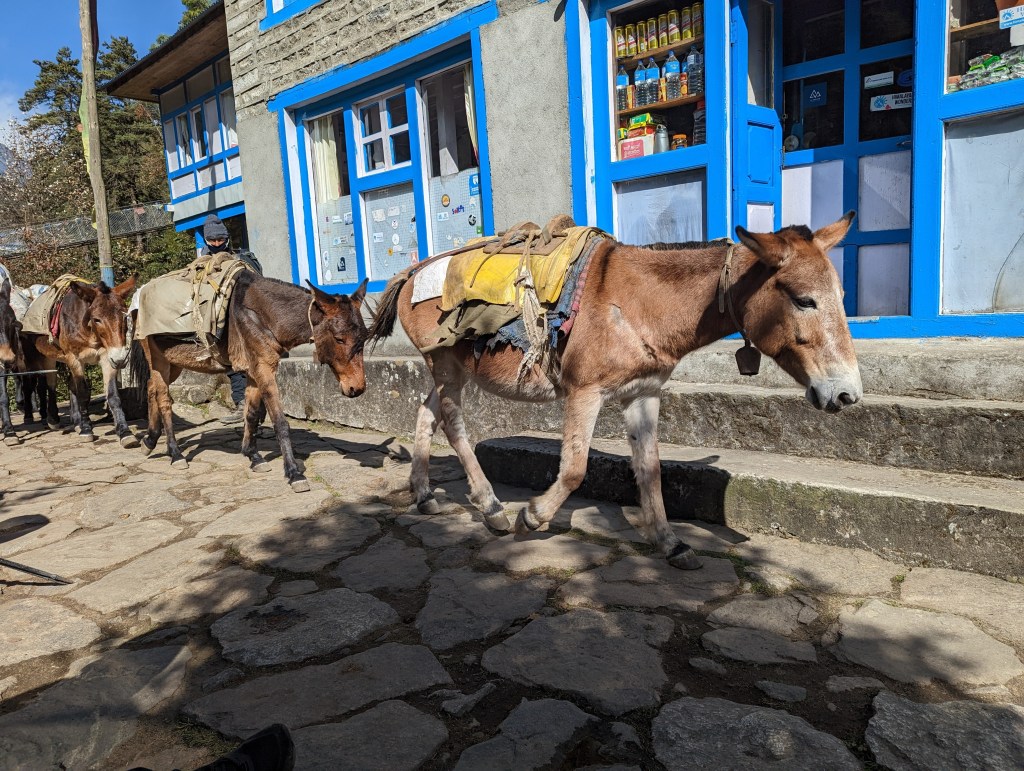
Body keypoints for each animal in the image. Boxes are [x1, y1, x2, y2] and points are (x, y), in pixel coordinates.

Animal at [22, 277, 138, 444]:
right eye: (97, 319)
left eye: (124, 316)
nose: (120, 358)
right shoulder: (75, 358)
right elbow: (83, 393)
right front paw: (86, 429)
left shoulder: (106, 358)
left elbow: (113, 395)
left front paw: (124, 432)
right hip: (40, 358)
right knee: (48, 384)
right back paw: (52, 419)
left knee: (69, 384)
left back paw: (76, 421)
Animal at [128, 272, 368, 492]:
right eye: (339, 339)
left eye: (365, 337)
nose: (357, 388)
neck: (262, 314)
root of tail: (140, 294)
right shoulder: (264, 369)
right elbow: (280, 421)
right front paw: (293, 473)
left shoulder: (255, 371)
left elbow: (251, 414)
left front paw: (253, 456)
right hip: (158, 360)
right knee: (164, 400)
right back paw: (175, 453)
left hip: (175, 363)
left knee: (150, 388)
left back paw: (150, 441)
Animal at [367, 214, 863, 570]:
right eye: (804, 300)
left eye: (841, 297)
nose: (847, 396)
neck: (642, 303)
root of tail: (415, 269)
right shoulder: (584, 393)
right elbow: (574, 469)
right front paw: (533, 517)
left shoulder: (642, 395)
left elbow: (651, 470)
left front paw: (669, 542)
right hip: (447, 366)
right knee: (453, 424)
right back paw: (491, 508)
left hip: (452, 371)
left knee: (425, 411)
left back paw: (424, 494)